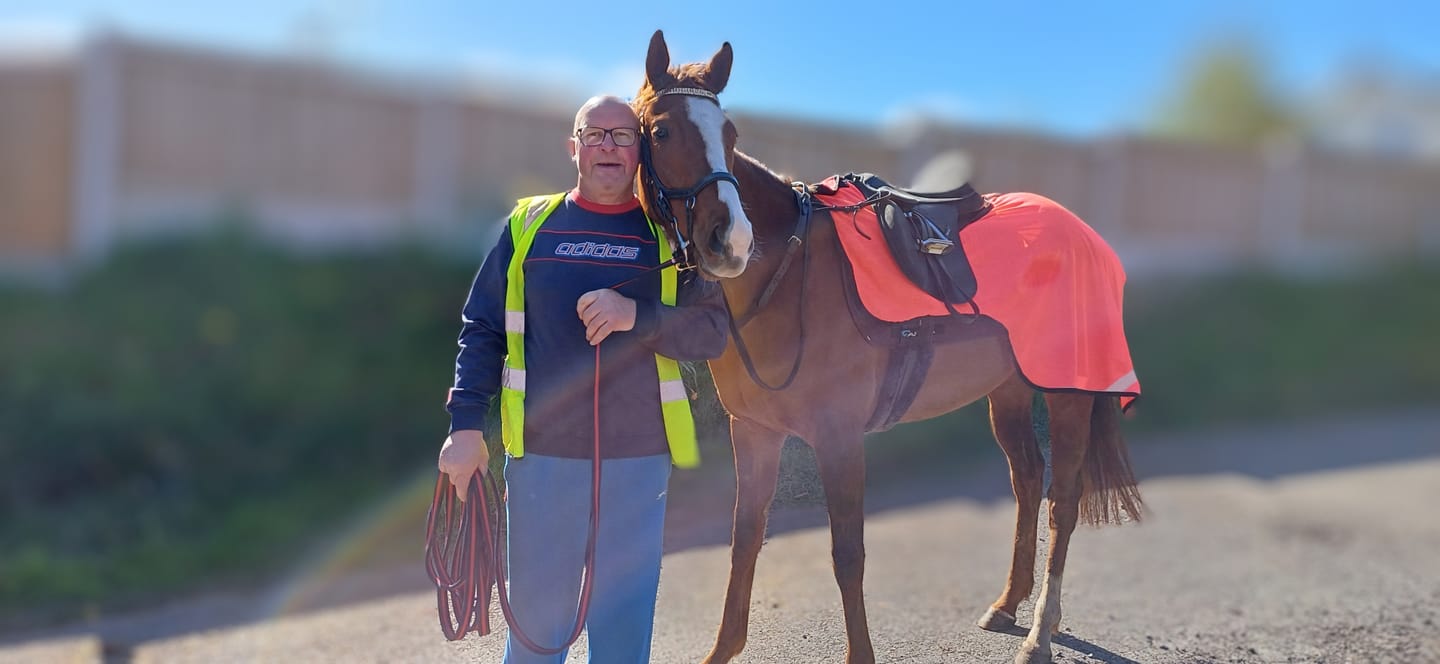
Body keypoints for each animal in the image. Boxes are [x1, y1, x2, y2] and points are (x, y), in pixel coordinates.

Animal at [632, 31, 1143, 664]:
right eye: (661, 132)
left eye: (730, 136)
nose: (731, 241)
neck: (788, 272)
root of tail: (1081, 230)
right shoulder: (753, 431)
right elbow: (745, 539)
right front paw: (723, 649)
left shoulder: (839, 435)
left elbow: (847, 554)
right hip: (1009, 391)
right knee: (1027, 480)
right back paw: (1007, 604)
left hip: (1068, 393)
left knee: (1062, 501)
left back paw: (1040, 633)